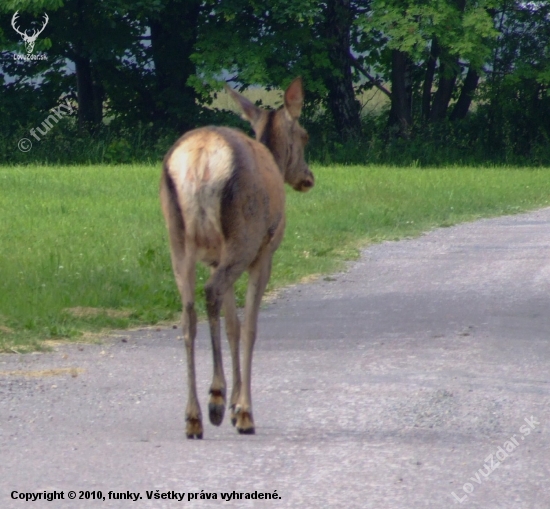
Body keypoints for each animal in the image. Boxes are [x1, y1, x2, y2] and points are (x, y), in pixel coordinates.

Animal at [160, 76, 314, 436]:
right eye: (305, 135)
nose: (308, 177)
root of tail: (199, 160)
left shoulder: (216, 257)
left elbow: (232, 323)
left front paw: (232, 403)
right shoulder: (264, 253)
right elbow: (249, 327)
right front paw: (241, 410)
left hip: (179, 238)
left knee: (188, 313)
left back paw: (194, 416)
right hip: (244, 234)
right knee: (211, 291)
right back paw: (216, 403)